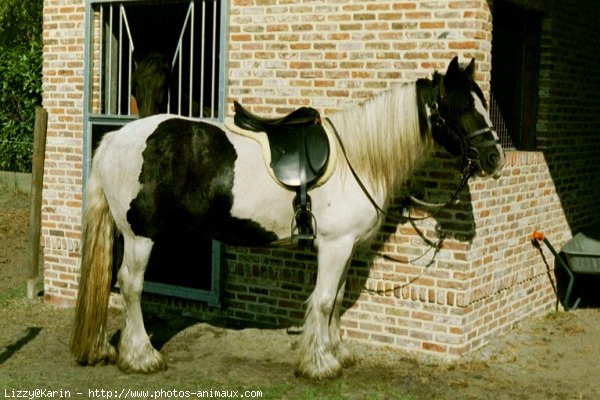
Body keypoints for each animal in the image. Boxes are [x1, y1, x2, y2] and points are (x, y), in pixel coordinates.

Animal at [71, 57, 506, 378]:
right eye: (462, 107)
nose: (494, 158)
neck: (357, 158)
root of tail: (116, 138)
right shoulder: (334, 245)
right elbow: (324, 300)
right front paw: (319, 364)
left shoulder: (345, 247)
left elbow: (337, 299)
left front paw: (336, 352)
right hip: (140, 235)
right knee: (130, 285)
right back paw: (142, 356)